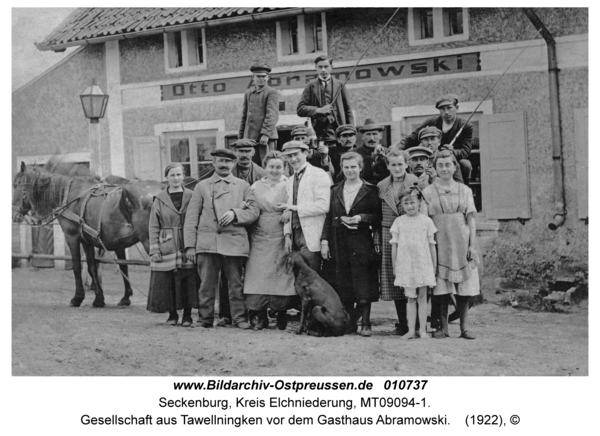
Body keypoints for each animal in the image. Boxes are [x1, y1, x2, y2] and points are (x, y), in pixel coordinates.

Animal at [13, 162, 164, 308]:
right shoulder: (87, 241)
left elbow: (77, 267)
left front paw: (77, 298)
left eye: (15, 185)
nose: (14, 215)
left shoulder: (72, 236)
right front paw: (100, 299)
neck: (67, 196)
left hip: (148, 240)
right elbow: (94, 267)